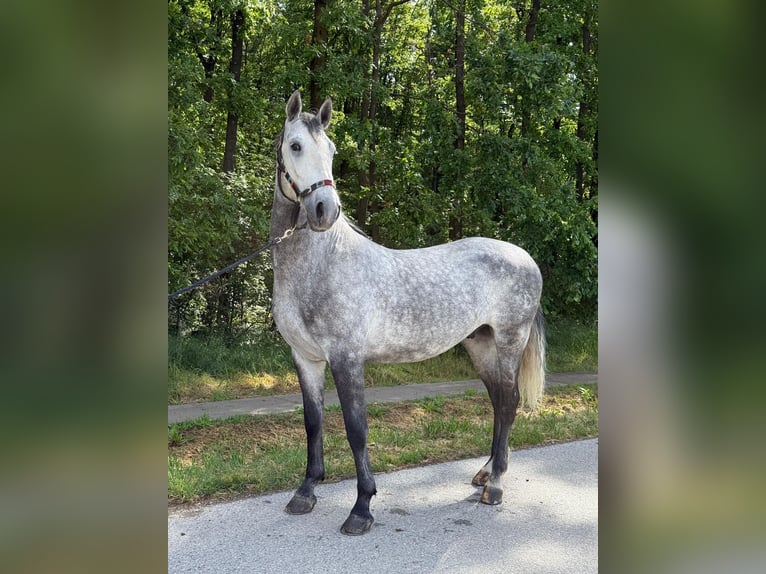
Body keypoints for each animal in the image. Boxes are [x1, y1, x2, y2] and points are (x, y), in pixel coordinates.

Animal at [270, 90, 546, 535]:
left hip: (509, 342)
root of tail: (524, 257)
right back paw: (485, 473)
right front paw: (306, 492)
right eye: (295, 146)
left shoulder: (347, 359)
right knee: (498, 402)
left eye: (331, 150)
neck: (322, 262)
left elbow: (357, 429)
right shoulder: (306, 358)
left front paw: (362, 508)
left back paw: (496, 485)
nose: (325, 209)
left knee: (508, 402)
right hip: (480, 345)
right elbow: (313, 422)